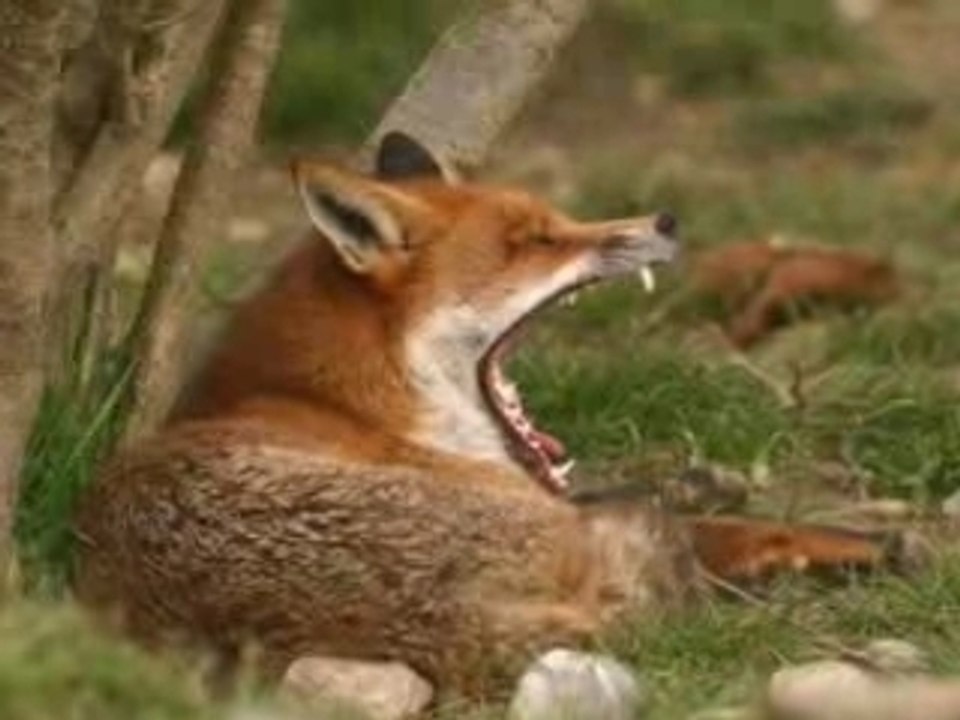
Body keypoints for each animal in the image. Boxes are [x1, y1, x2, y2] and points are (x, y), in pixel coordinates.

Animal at [73, 133, 915, 699]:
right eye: (535, 242)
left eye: (555, 219)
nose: (667, 221)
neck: (344, 398)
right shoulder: (555, 506)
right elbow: (735, 526)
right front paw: (868, 542)